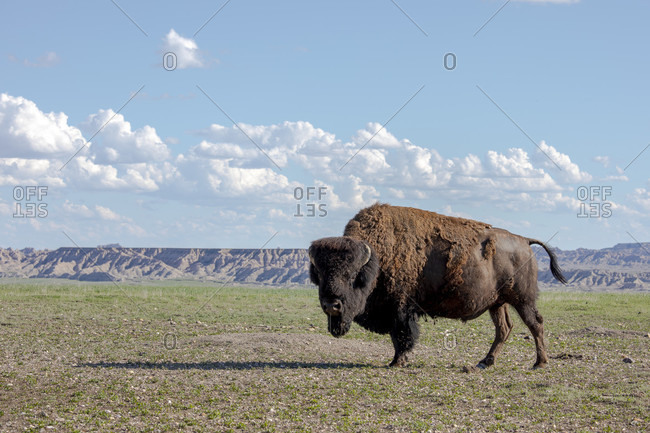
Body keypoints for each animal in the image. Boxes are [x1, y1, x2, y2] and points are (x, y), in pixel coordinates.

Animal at [308, 203, 567, 369]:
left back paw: (539, 363)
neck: (377, 258)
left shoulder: (400, 309)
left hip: (523, 300)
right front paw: (397, 361)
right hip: (498, 303)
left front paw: (396, 362)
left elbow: (402, 336)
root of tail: (524, 240)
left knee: (535, 324)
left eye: (352, 275)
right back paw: (485, 362)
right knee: (504, 329)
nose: (331, 305)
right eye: (319, 274)